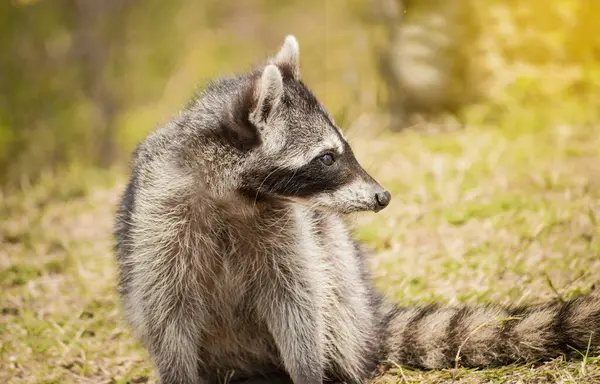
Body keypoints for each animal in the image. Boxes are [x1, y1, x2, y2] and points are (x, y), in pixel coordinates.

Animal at [116, 36, 600, 384]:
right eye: (327, 158)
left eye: (342, 150)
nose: (382, 196)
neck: (238, 195)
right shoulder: (161, 221)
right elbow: (167, 312)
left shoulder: (286, 229)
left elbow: (299, 302)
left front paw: (308, 371)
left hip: (341, 285)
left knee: (331, 292)